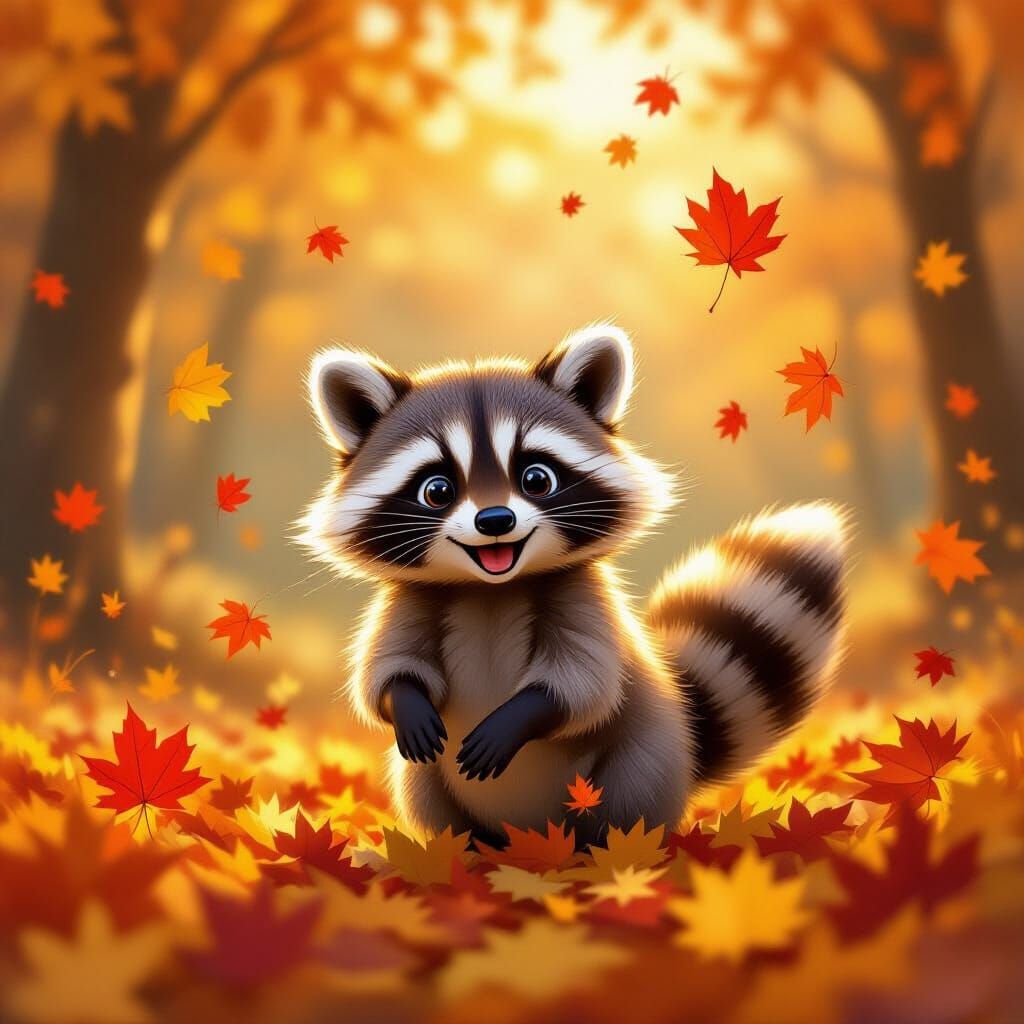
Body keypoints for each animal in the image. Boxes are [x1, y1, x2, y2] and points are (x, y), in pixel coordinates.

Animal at [302, 324, 847, 847]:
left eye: (536, 478)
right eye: (437, 490)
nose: (495, 521)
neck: (490, 588)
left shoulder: (582, 596)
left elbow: (584, 685)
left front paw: (519, 715)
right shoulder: (411, 600)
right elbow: (385, 670)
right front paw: (405, 701)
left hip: (643, 758)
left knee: (628, 796)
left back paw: (604, 851)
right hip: (430, 781)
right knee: (423, 790)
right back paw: (462, 851)